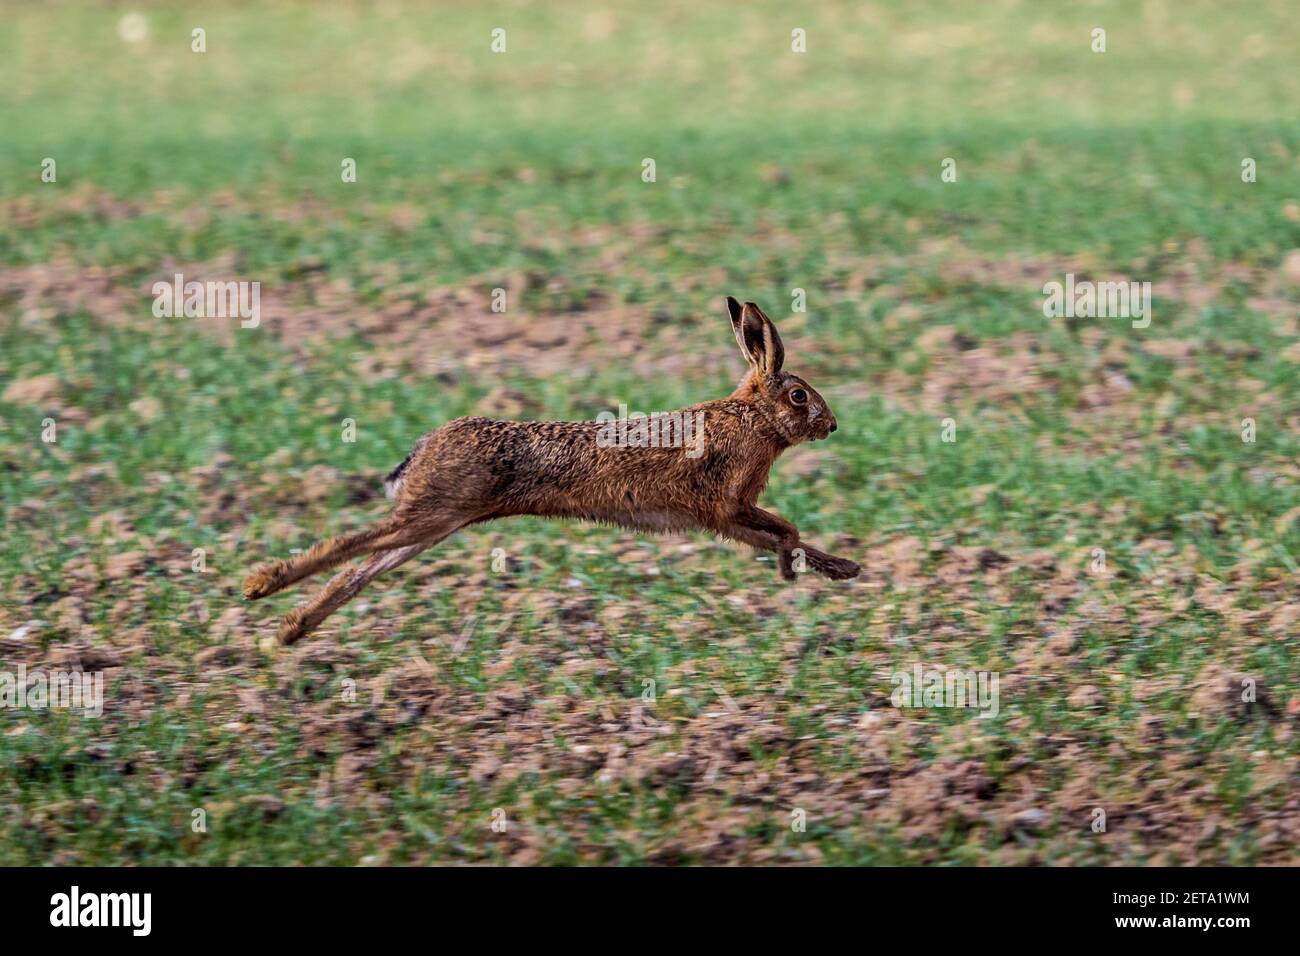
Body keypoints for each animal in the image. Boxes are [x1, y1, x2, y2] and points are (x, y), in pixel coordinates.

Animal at [243, 296, 861, 644]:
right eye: (800, 396)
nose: (832, 425)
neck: (752, 417)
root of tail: (422, 450)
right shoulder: (729, 503)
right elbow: (788, 530)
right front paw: (794, 573)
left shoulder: (726, 518)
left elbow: (786, 536)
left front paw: (840, 570)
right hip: (435, 509)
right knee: (350, 545)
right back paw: (261, 586)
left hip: (439, 521)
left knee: (366, 565)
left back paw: (290, 631)